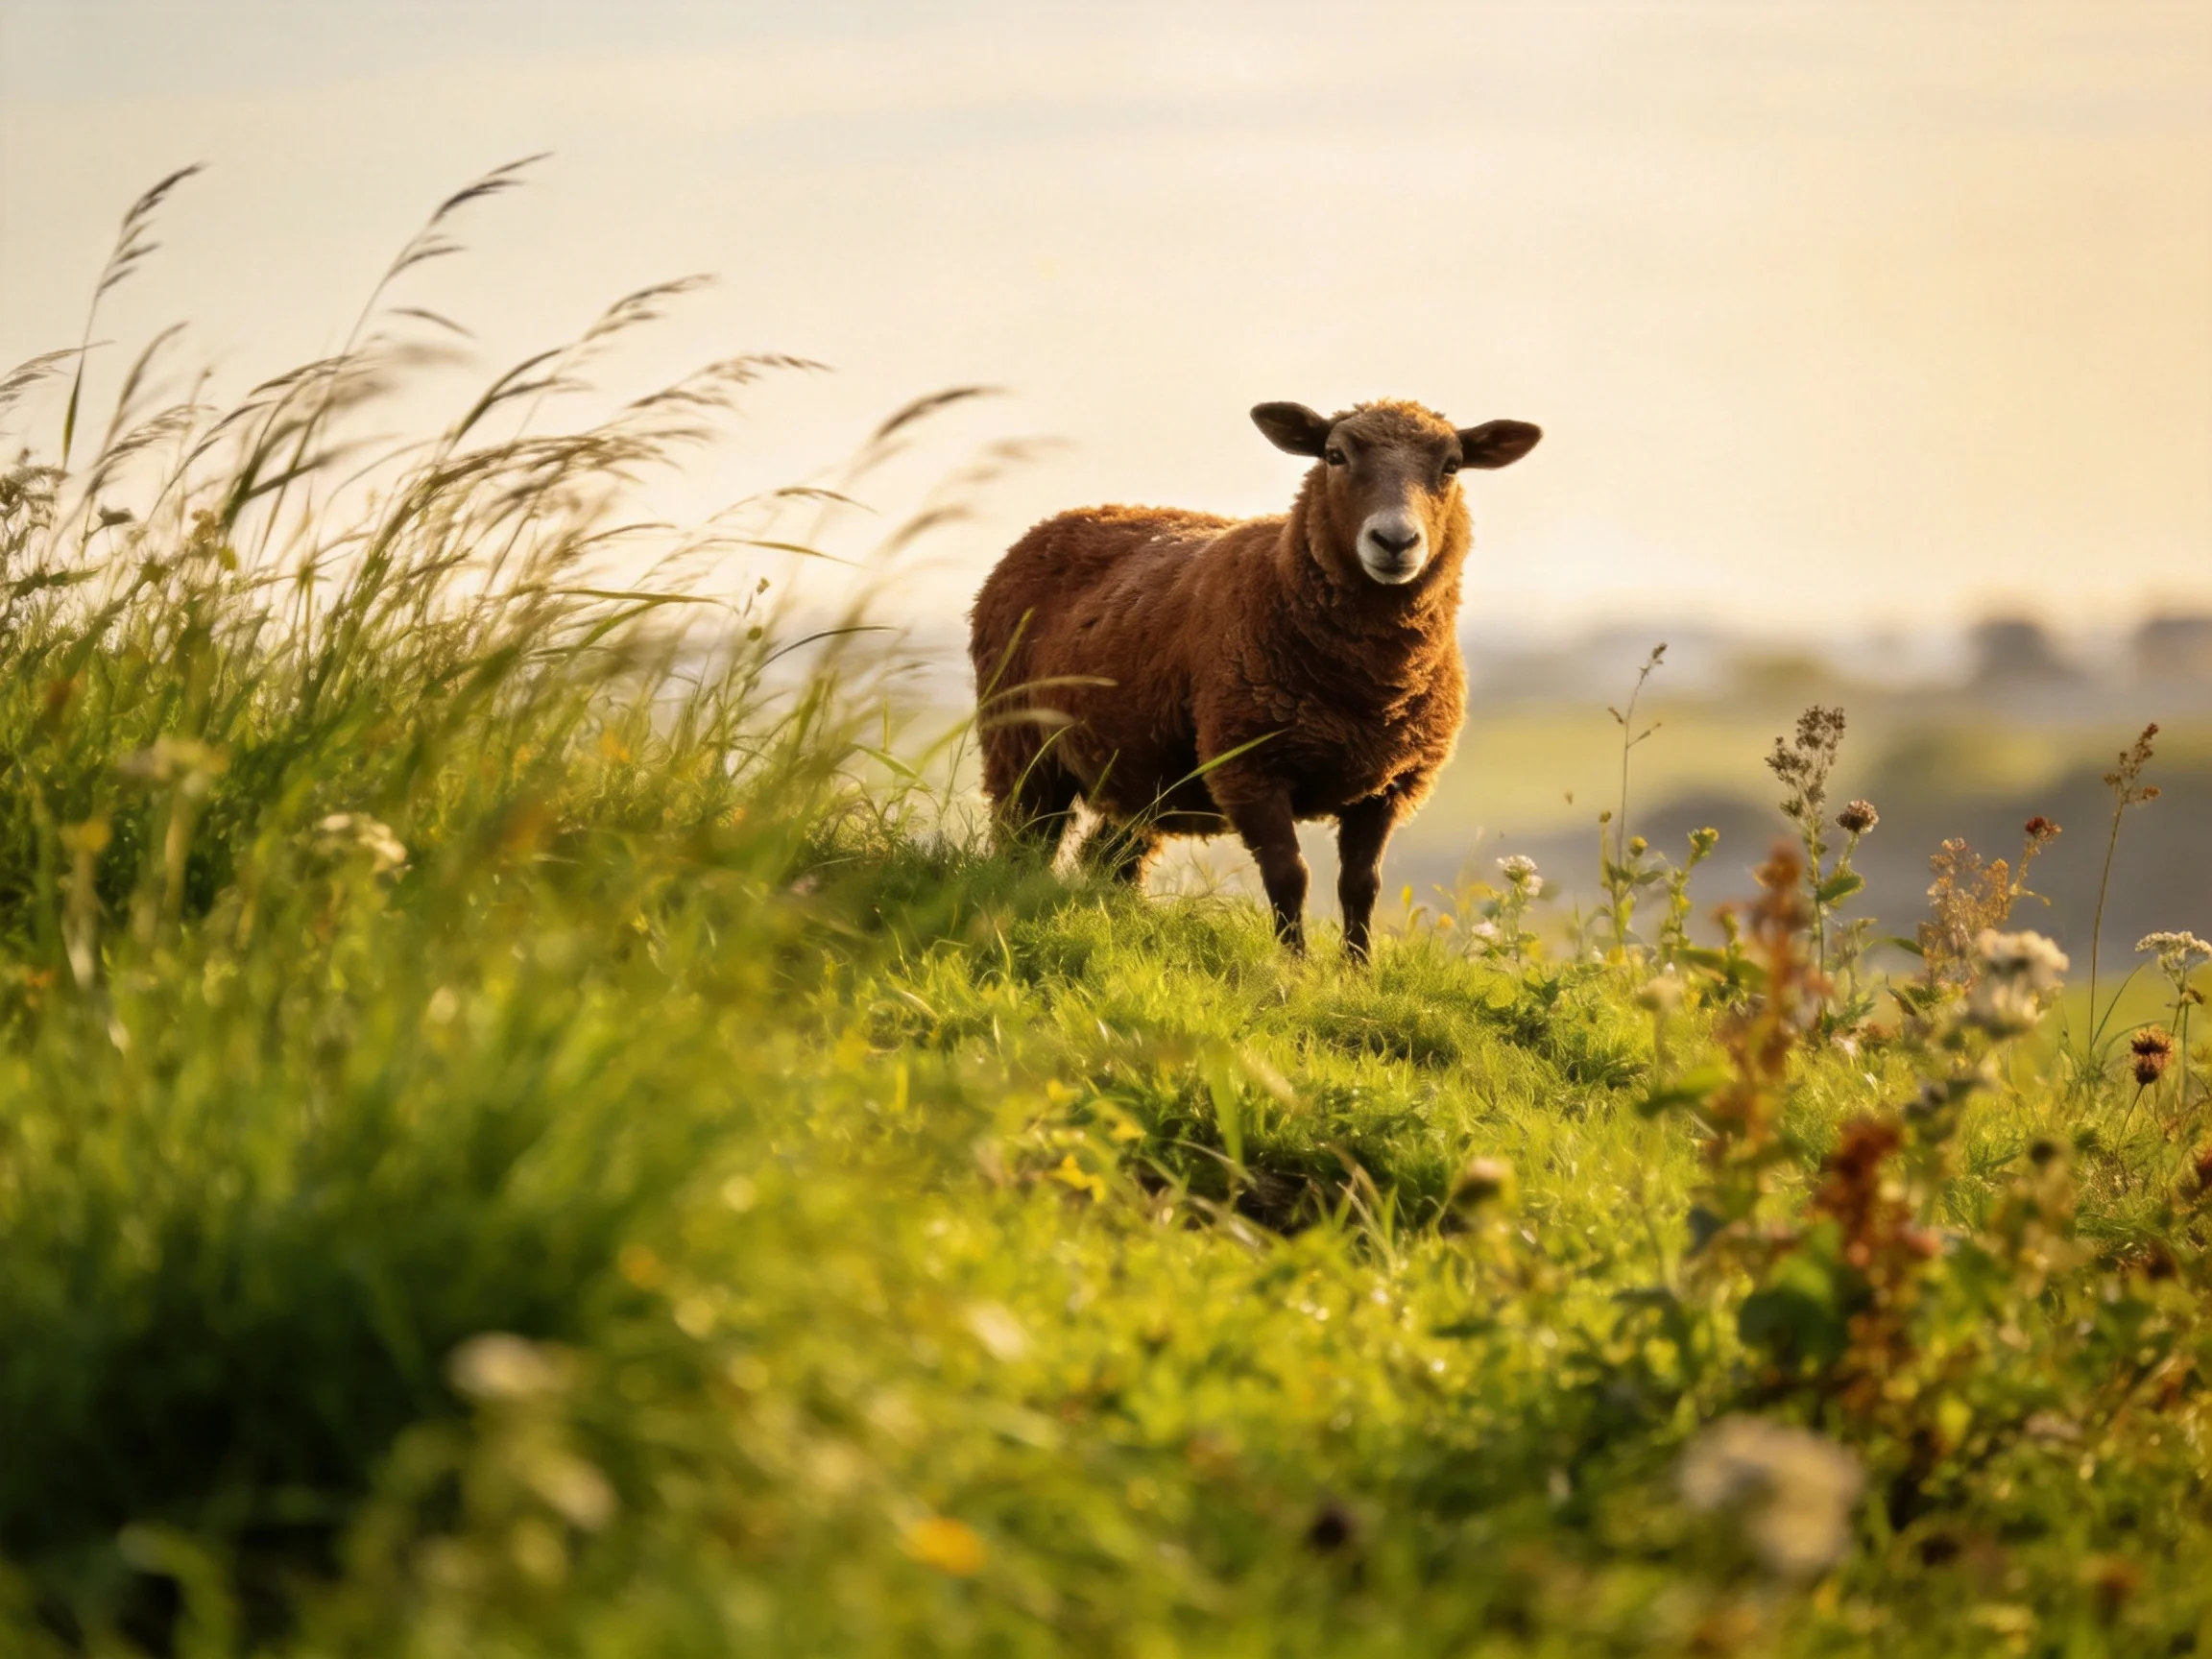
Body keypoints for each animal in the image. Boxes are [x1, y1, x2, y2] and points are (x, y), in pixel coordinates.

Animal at [968, 397, 1540, 960]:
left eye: (1452, 465)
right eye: (1334, 455)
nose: (1395, 540)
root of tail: (1066, 517)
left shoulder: (1389, 784)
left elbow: (1362, 884)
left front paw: (1358, 971)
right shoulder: (1249, 766)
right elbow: (1290, 876)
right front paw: (1296, 969)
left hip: (1148, 778)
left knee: (1108, 858)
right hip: (1019, 747)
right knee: (1023, 845)